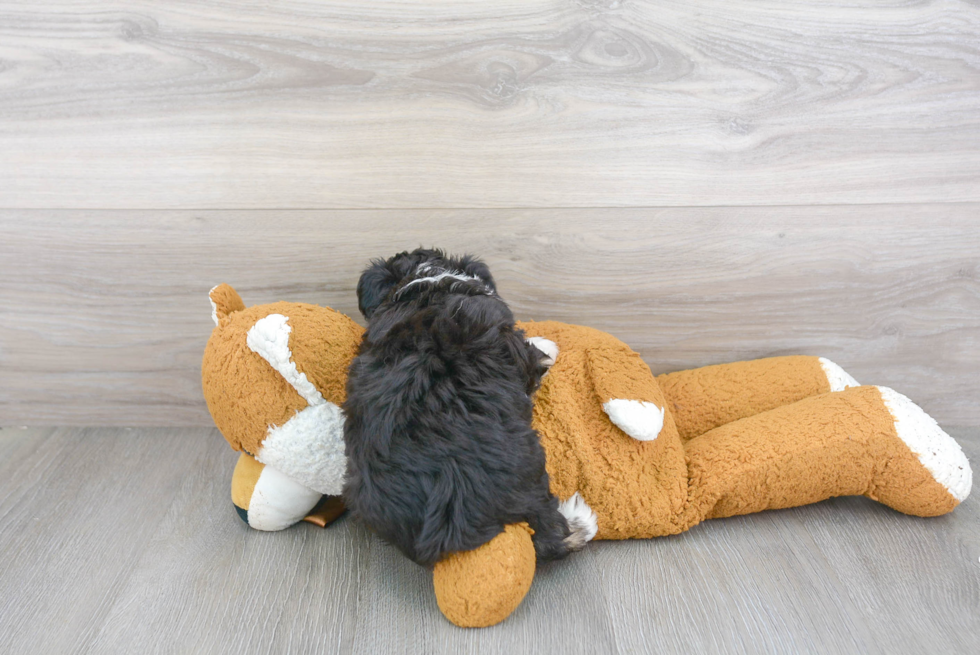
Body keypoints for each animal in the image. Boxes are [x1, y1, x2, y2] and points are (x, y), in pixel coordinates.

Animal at [340, 249, 592, 568]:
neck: (427, 280)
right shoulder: (515, 348)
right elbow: (535, 357)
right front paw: (548, 346)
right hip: (530, 468)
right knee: (549, 530)